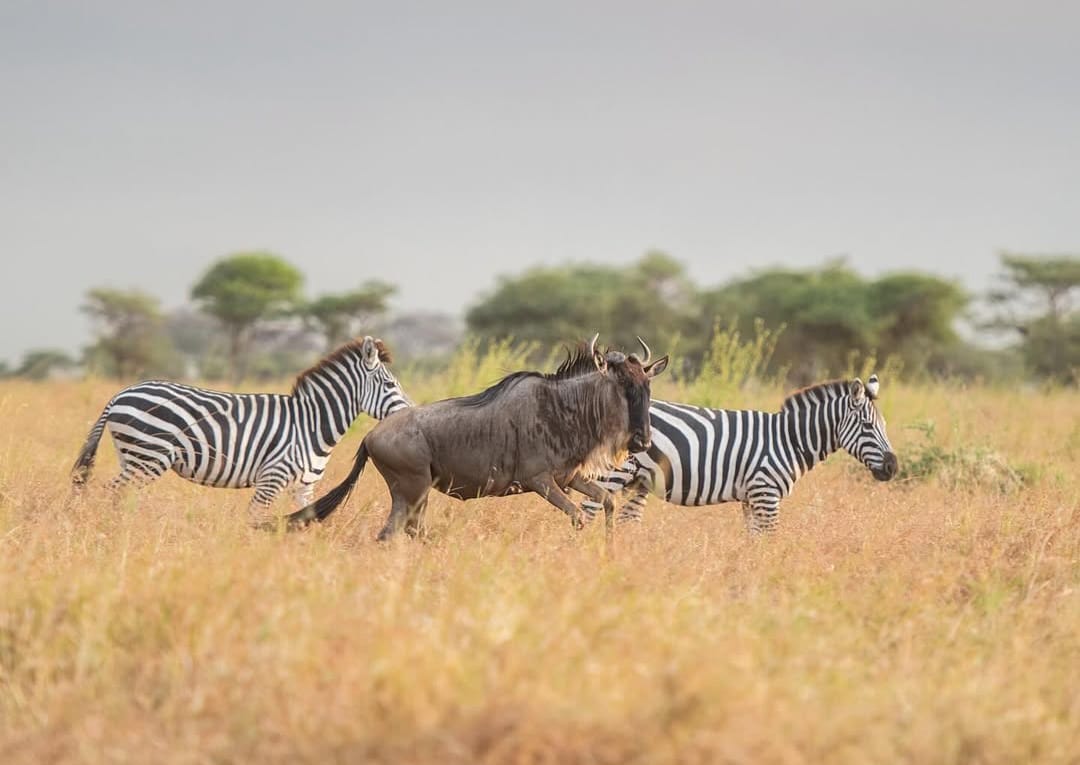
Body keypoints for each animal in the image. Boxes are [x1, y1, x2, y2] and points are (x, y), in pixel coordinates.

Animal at [71, 336, 411, 521]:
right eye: (390, 385)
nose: (411, 414)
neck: (311, 424)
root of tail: (121, 393)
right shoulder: (271, 479)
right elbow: (255, 519)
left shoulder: (304, 486)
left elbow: (309, 521)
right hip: (147, 457)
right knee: (111, 492)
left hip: (133, 457)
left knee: (120, 495)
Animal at [580, 375, 898, 533]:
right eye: (868, 426)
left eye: (884, 425)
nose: (893, 468)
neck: (789, 440)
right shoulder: (766, 493)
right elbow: (770, 540)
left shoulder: (751, 497)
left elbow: (753, 541)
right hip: (610, 475)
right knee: (585, 517)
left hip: (638, 481)